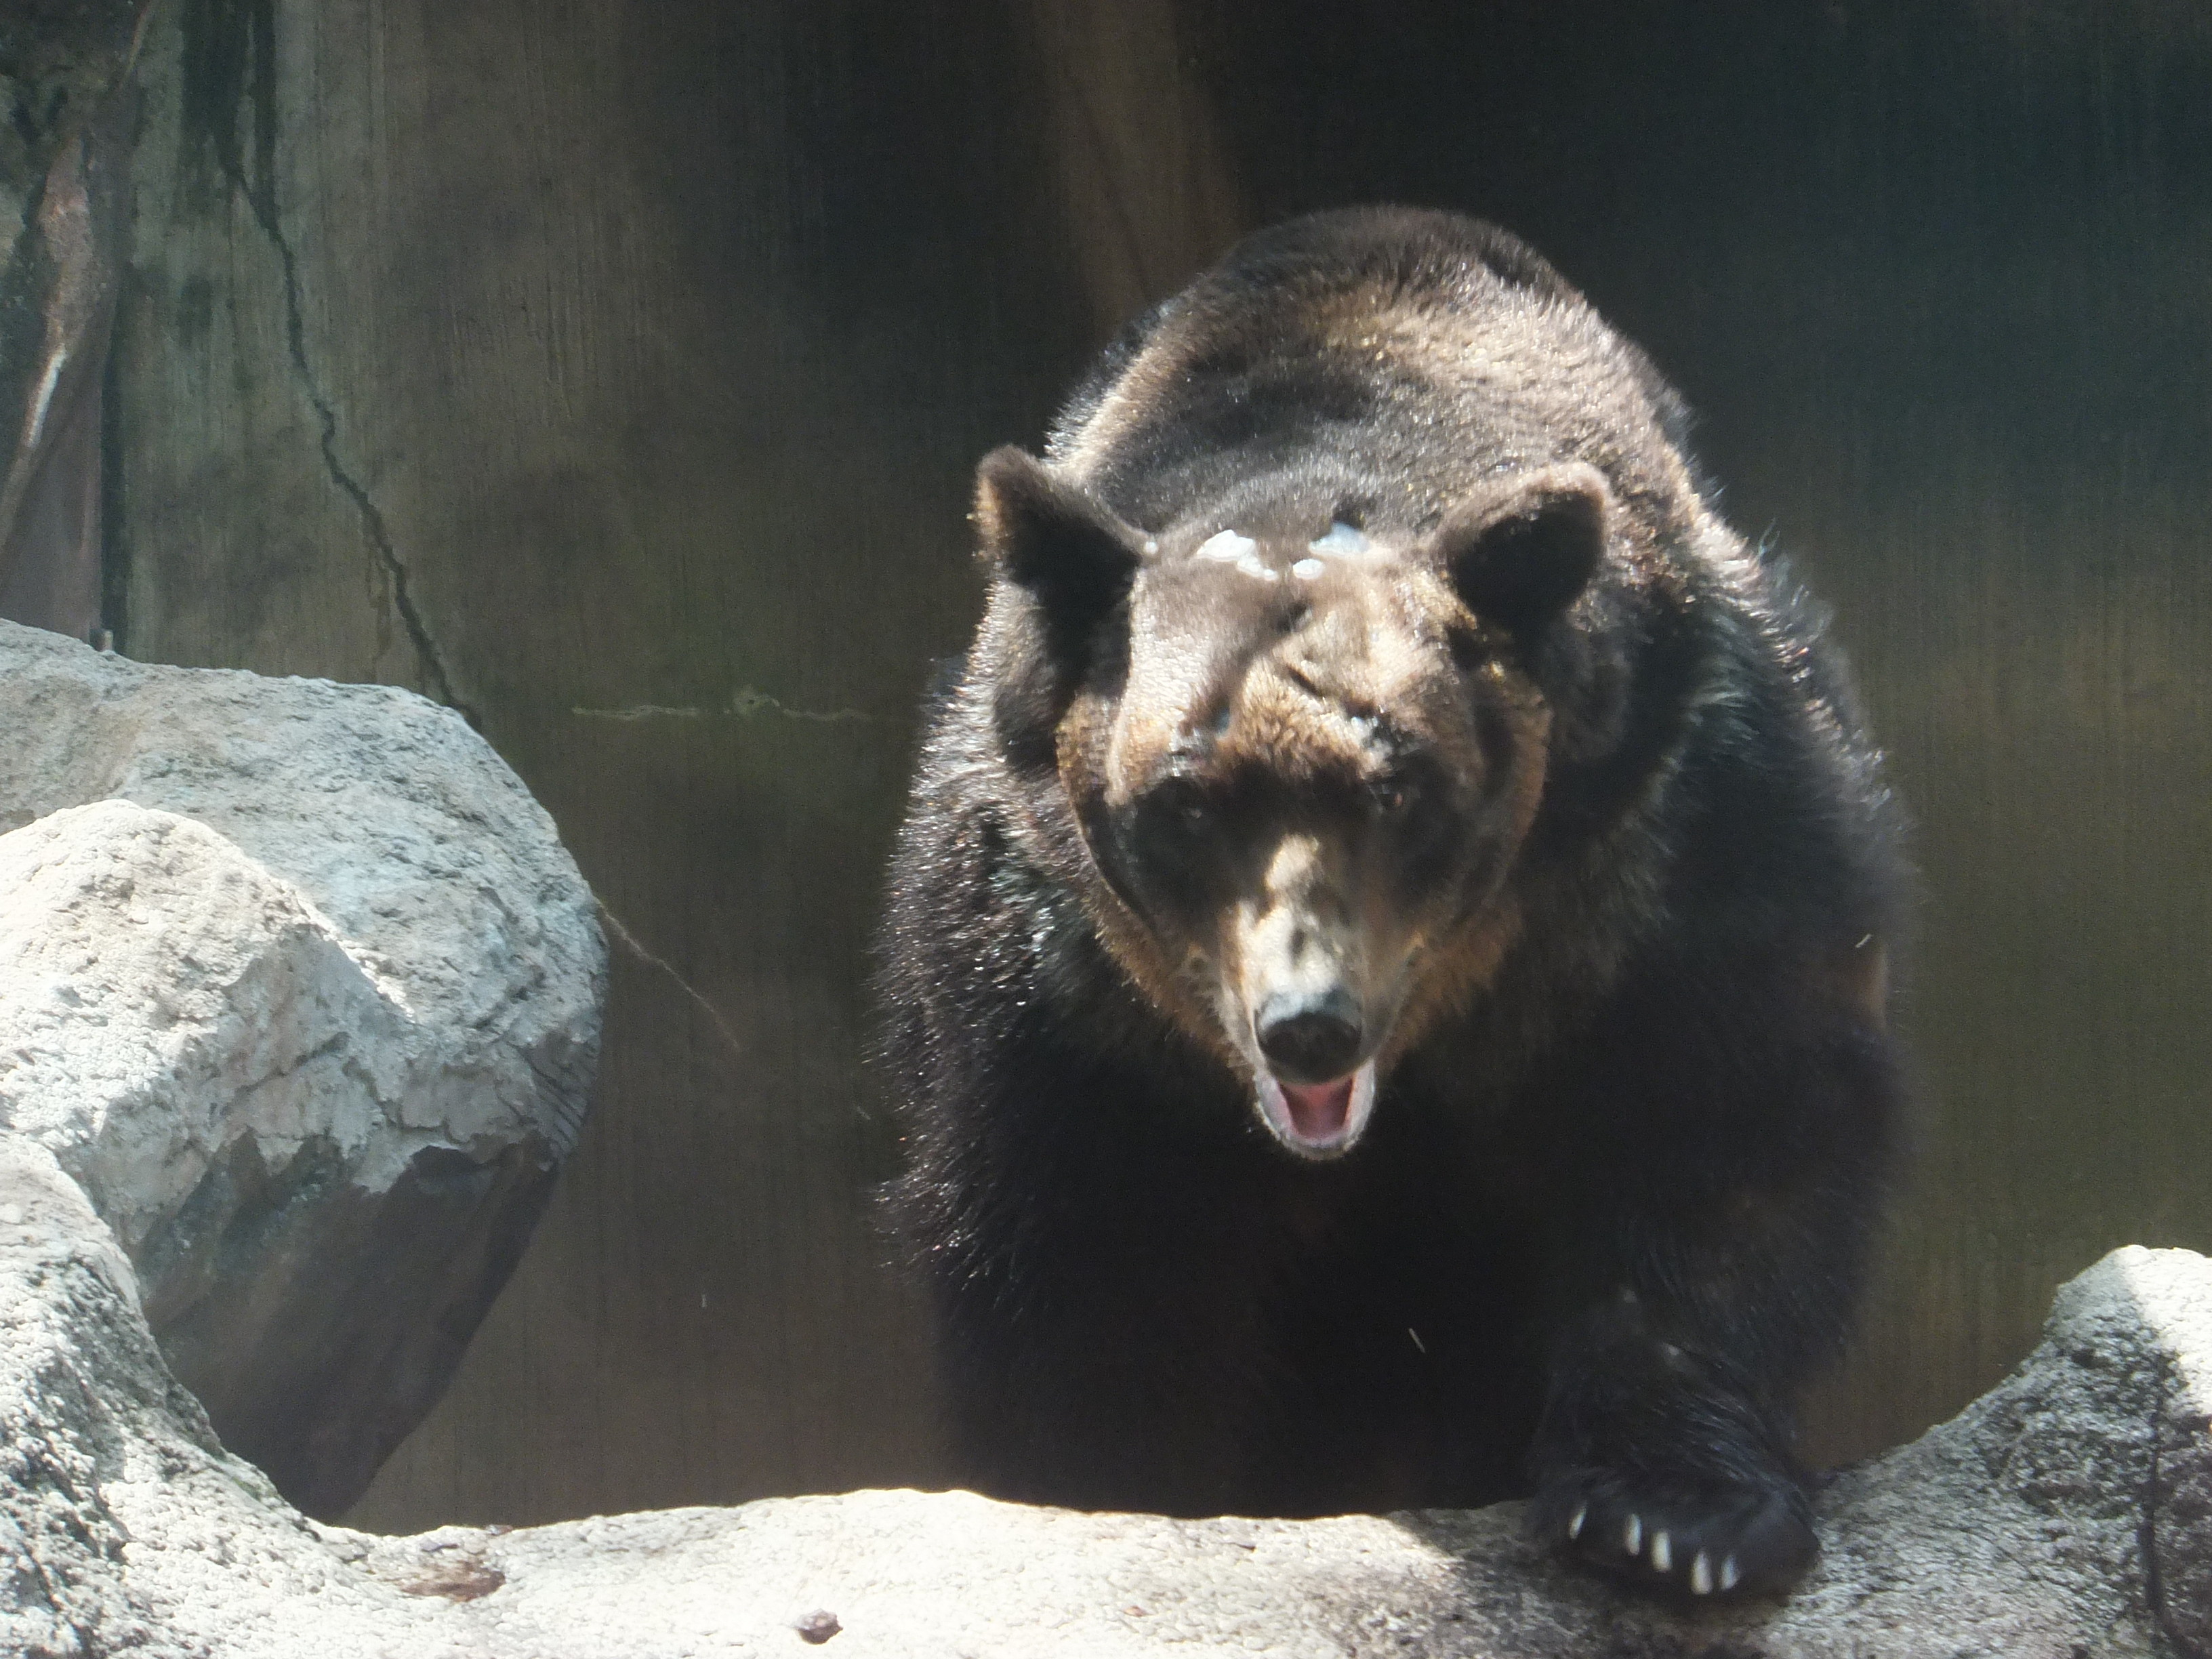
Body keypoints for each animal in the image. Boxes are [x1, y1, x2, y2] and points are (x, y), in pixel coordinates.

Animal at [876, 201, 1902, 1601]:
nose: (1308, 1024)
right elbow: (1073, 1254)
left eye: (1400, 786)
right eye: (1182, 798)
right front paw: (1107, 1489)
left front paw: (1669, 1516)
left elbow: (1728, 1129)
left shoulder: (1679, 848)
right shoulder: (1057, 984)